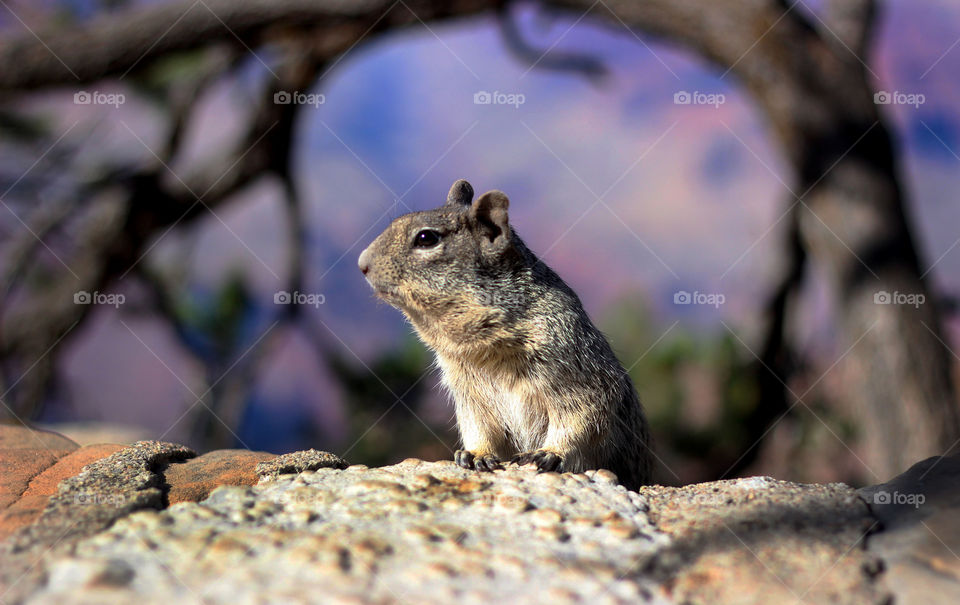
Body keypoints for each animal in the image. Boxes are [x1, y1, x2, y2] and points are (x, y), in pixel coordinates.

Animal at [357, 179, 652, 489]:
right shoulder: (469, 393)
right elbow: (479, 426)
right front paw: (476, 454)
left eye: (426, 238)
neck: (483, 346)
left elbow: (582, 418)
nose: (361, 263)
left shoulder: (578, 374)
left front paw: (551, 453)